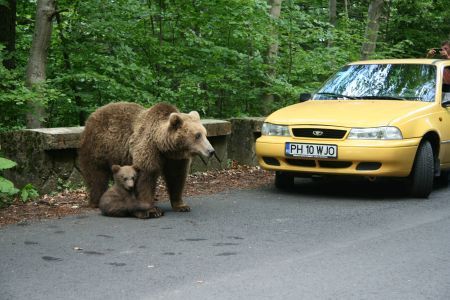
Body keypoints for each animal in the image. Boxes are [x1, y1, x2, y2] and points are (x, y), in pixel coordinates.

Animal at [78, 101, 215, 218]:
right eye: (197, 135)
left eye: (205, 134)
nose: (211, 151)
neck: (164, 146)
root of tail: (92, 116)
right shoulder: (148, 149)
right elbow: (146, 177)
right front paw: (151, 210)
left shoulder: (175, 159)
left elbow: (176, 177)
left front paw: (182, 206)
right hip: (98, 148)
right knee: (96, 176)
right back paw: (97, 201)